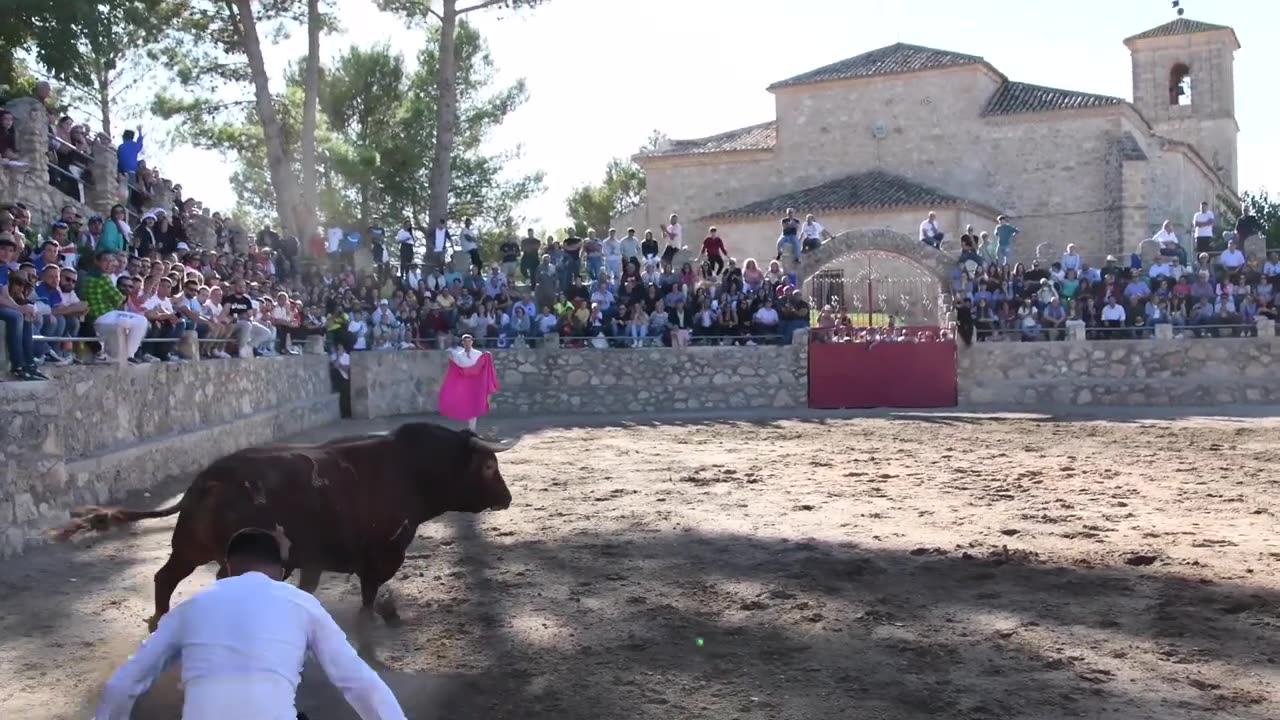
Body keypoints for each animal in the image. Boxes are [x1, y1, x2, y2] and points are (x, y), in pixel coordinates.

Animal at [55, 420, 514, 627]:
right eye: (489, 467)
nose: (507, 499)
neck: (411, 469)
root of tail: (208, 479)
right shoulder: (381, 555)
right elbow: (368, 595)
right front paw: (372, 621)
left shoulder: (314, 560)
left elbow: (310, 589)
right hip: (223, 555)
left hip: (188, 546)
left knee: (164, 577)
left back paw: (159, 620)